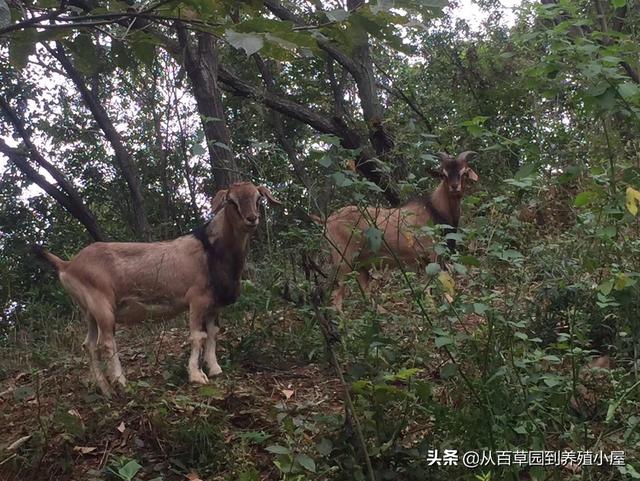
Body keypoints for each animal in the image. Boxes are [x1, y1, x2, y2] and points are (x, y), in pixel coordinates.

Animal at [34, 182, 280, 396]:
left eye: (258, 199)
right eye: (231, 201)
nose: (252, 219)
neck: (211, 250)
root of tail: (67, 265)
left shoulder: (213, 304)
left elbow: (212, 333)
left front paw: (215, 369)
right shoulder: (197, 299)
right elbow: (197, 336)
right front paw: (196, 375)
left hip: (89, 311)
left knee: (89, 345)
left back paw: (105, 389)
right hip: (101, 304)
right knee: (106, 342)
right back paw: (121, 382)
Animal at [318, 153, 478, 312]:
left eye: (464, 172)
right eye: (443, 174)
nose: (454, 187)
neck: (434, 209)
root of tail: (328, 220)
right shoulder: (432, 253)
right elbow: (434, 285)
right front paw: (435, 308)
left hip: (360, 263)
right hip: (343, 258)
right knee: (336, 296)